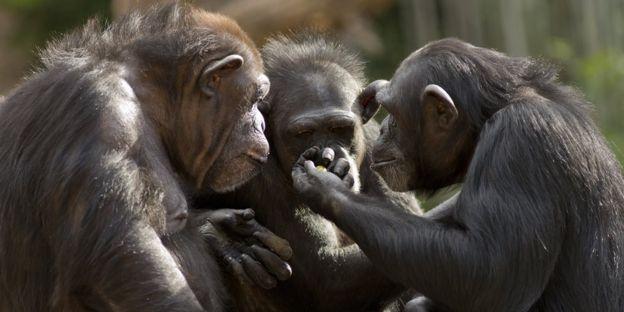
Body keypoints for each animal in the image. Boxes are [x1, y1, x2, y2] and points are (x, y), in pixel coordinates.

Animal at [0, 4, 292, 312]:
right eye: (256, 99)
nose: (261, 123)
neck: (148, 100)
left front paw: (221, 233)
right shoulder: (103, 116)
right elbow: (125, 255)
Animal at [204, 34, 420, 312]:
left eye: (340, 128)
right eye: (304, 133)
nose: (327, 155)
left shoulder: (379, 145)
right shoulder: (256, 176)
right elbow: (325, 274)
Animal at [292, 38, 624, 312]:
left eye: (394, 115)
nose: (383, 128)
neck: (488, 117)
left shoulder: (521, 142)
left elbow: (488, 272)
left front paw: (327, 187)